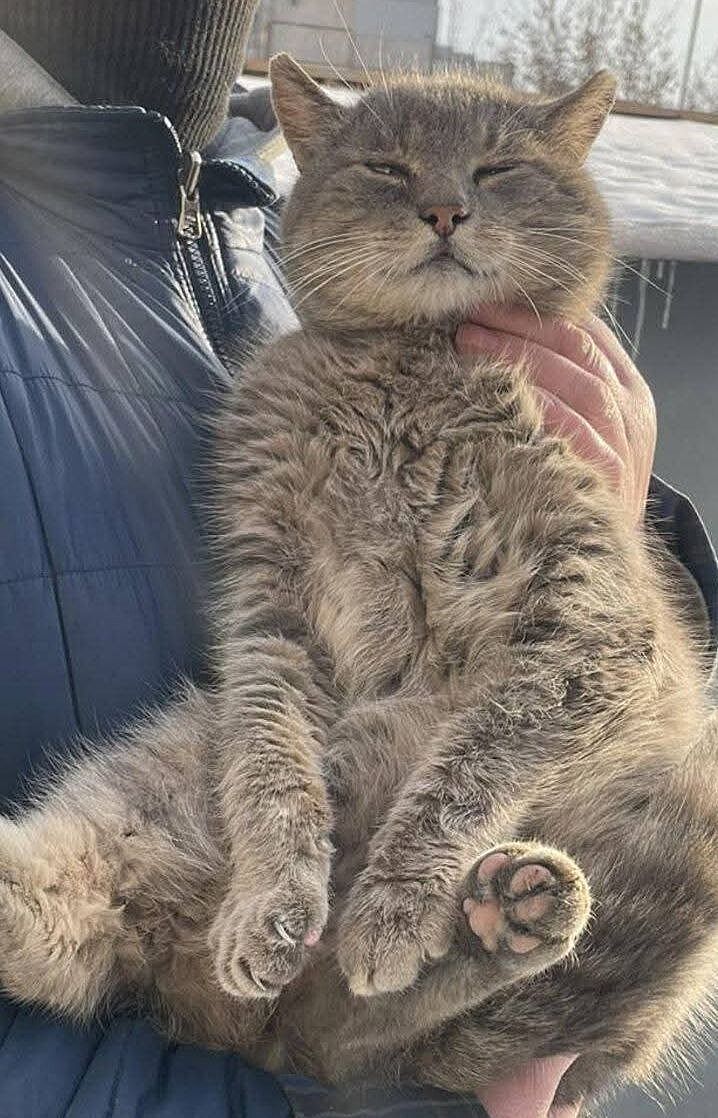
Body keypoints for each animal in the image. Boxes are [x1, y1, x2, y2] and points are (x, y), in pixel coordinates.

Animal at [0, 52, 717, 1115]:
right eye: (386, 166)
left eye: (498, 169)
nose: (445, 209)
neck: (409, 363)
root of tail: (236, 1035)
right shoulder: (269, 607)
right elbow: (273, 770)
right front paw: (276, 899)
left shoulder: (590, 624)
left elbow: (469, 769)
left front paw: (396, 904)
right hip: (150, 778)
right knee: (96, 942)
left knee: (369, 1042)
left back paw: (504, 916)